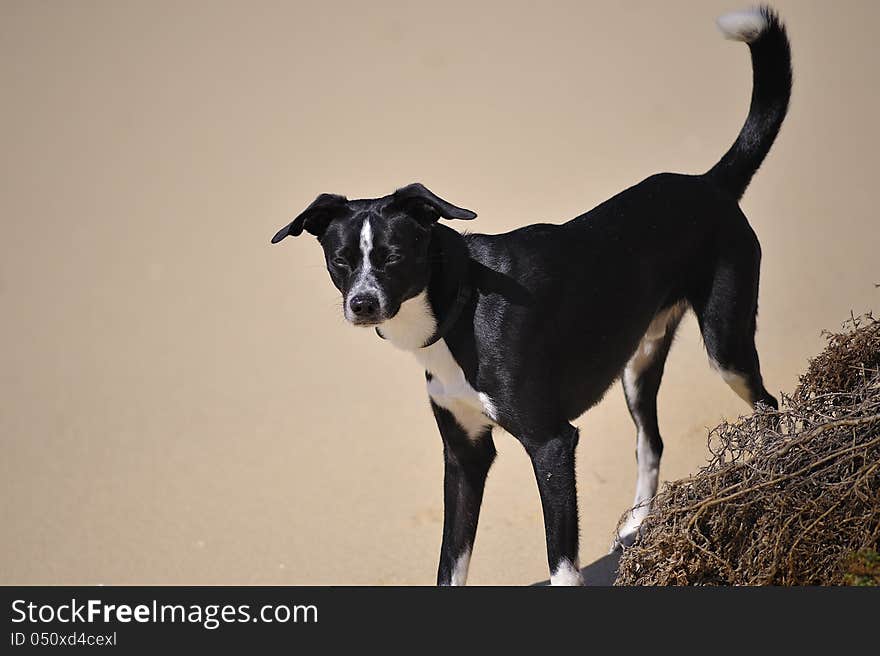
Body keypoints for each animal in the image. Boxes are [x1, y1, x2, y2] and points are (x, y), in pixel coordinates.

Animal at [270, 7, 792, 584]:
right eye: (341, 260)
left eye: (392, 256)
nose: (361, 305)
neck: (460, 311)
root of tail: (709, 184)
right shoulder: (464, 456)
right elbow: (450, 566)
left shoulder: (551, 444)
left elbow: (561, 564)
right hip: (637, 364)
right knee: (650, 440)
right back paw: (637, 524)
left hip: (726, 347)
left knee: (768, 405)